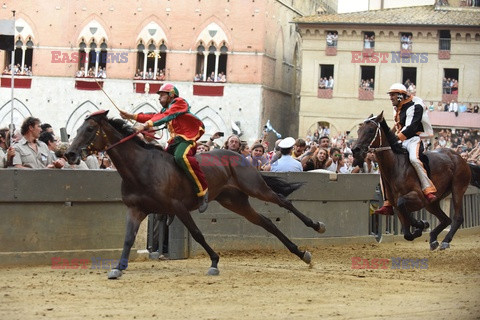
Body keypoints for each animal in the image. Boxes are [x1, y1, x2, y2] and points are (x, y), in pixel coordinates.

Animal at [64, 110, 326, 278]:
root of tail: (238, 155)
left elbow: (198, 234)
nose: (70, 154)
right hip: (234, 200)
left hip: (254, 187)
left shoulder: (178, 207)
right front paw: (119, 267)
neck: (141, 168)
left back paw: (317, 226)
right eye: (77, 129)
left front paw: (214, 262)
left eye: (89, 129)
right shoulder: (136, 209)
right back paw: (301, 253)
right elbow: (128, 238)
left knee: (283, 201)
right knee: (267, 222)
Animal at [350, 112, 478, 250]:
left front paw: (422, 224)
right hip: (432, 202)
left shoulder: (418, 197)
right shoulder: (397, 206)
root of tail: (461, 159)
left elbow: (403, 204)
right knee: (445, 219)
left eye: (370, 130)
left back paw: (445, 241)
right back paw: (433, 239)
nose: (355, 150)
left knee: (457, 217)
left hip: (457, 188)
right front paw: (420, 227)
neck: (396, 166)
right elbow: (407, 233)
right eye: (358, 131)